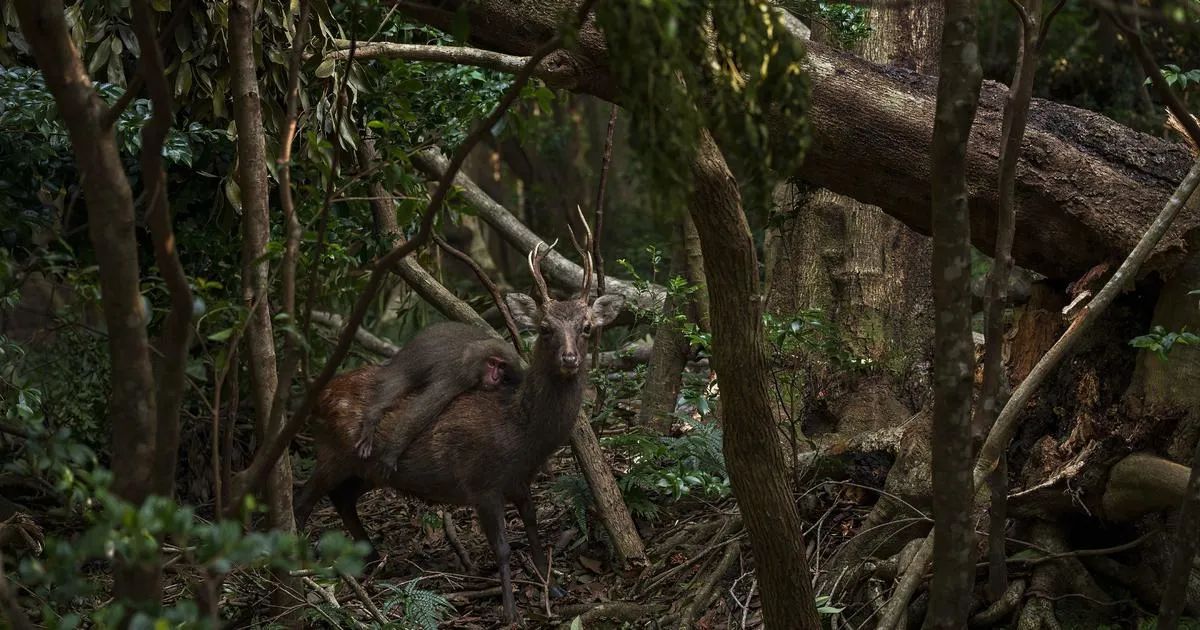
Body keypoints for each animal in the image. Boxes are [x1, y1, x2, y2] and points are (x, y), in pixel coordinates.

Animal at [355, 321, 525, 463]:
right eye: (491, 363)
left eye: (502, 366)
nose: (495, 377)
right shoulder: (458, 375)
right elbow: (420, 412)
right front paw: (392, 452)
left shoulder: (516, 371)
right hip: (405, 364)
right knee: (397, 382)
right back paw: (373, 414)